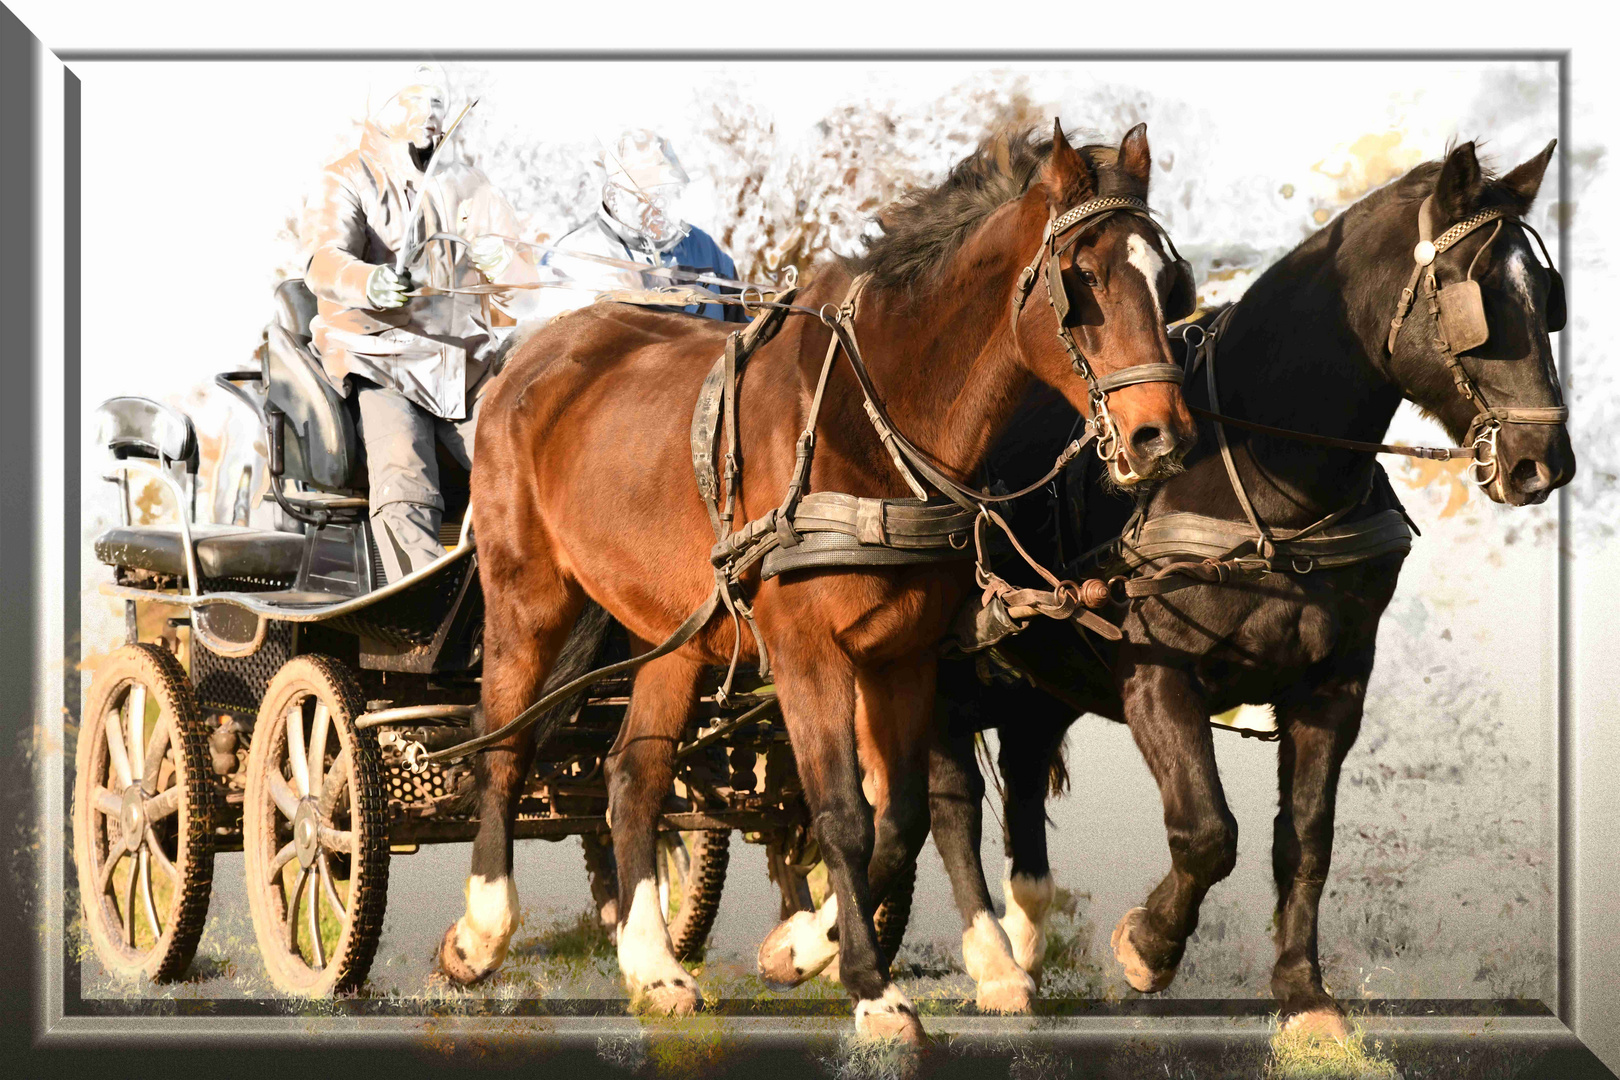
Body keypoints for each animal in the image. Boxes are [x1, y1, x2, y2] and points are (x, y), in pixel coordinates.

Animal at [437, 122, 1198, 1042]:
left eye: (1168, 278)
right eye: (1081, 278)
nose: (1163, 436)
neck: (867, 425)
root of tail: (536, 353)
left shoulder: (904, 654)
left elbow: (899, 815)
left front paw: (803, 948)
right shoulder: (807, 652)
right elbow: (841, 813)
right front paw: (874, 989)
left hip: (671, 632)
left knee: (633, 778)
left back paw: (653, 968)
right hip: (526, 595)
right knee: (504, 747)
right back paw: (481, 931)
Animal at [835, 139, 1581, 1036]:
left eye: (1546, 300)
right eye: (1478, 298)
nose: (1545, 463)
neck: (1265, 485)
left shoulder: (1334, 684)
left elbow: (1306, 838)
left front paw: (1303, 995)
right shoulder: (1157, 672)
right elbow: (1206, 831)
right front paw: (1148, 948)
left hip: (1035, 677)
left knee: (1017, 780)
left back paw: (1020, 943)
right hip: (937, 662)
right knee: (942, 798)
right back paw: (962, 958)